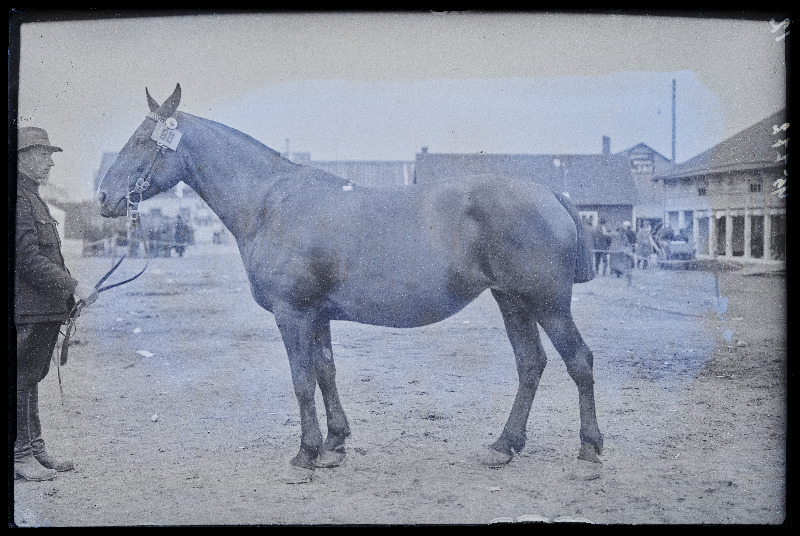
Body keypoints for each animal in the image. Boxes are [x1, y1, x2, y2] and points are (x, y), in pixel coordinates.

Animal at [97, 85, 604, 482]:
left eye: (141, 139)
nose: (103, 197)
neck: (269, 203)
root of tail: (551, 194)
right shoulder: (317, 314)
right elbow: (325, 372)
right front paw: (334, 445)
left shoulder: (293, 313)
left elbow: (302, 379)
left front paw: (305, 454)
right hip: (511, 299)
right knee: (530, 364)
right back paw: (504, 446)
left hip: (547, 302)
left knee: (578, 361)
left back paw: (589, 451)